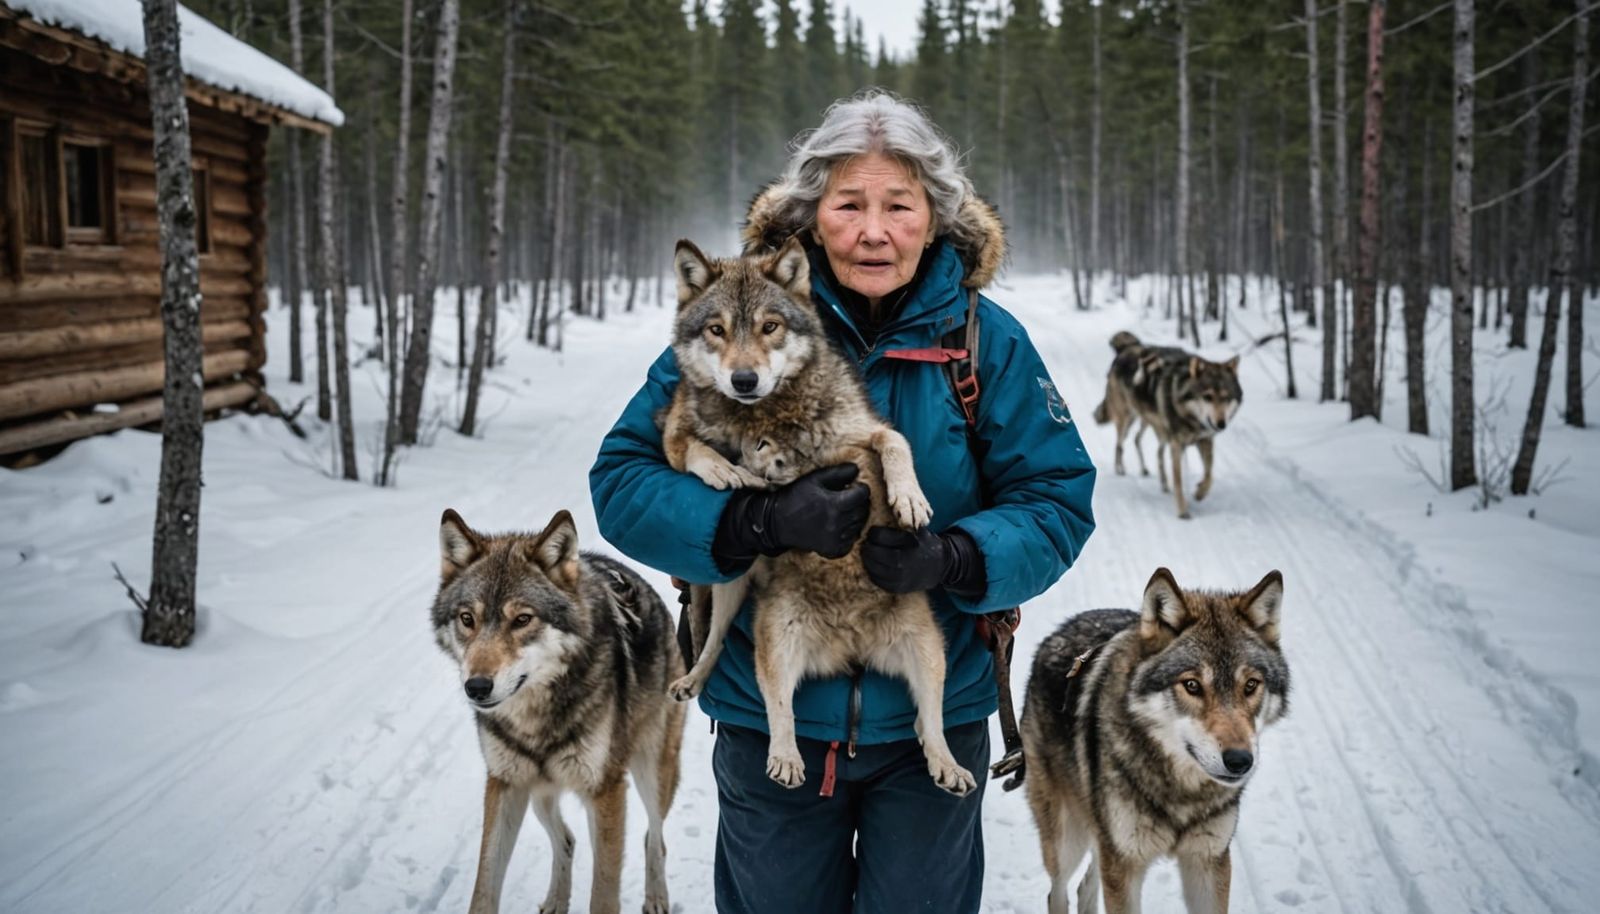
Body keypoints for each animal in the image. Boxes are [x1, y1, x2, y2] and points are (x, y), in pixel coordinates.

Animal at [432, 508, 686, 914]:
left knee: (655, 838)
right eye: (467, 619)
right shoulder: (504, 782)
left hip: (652, 772)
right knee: (566, 838)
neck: (534, 720)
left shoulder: (606, 790)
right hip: (539, 789)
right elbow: (485, 886)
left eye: (522, 619)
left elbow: (603, 894)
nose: (477, 687)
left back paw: (657, 898)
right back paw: (555, 900)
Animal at [656, 236, 975, 797]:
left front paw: (910, 498)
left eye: (769, 327)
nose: (744, 379)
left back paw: (947, 765)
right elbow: (692, 450)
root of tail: (850, 648)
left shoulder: (863, 434)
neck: (769, 412)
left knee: (928, 721)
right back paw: (769, 745)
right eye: (717, 329)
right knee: (759, 689)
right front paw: (727, 471)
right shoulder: (672, 431)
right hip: (759, 617)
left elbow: (895, 442)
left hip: (927, 648)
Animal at [1013, 567, 1289, 914]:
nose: (1240, 761)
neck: (1182, 793)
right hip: (1068, 841)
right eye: (1192, 685)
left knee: (1084, 886)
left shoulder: (1208, 861)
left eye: (1251, 685)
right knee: (1058, 891)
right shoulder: (1125, 863)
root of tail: (1059, 631)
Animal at [1093, 332, 1242, 519]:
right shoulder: (1177, 444)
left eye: (1226, 398)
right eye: (1207, 397)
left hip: (1155, 428)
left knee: (1144, 444)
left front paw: (1199, 492)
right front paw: (1183, 511)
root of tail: (1128, 347)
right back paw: (1120, 469)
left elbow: (1209, 475)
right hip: (1128, 419)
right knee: (1120, 444)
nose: (1221, 424)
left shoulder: (1205, 440)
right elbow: (1178, 479)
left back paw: (1157, 479)